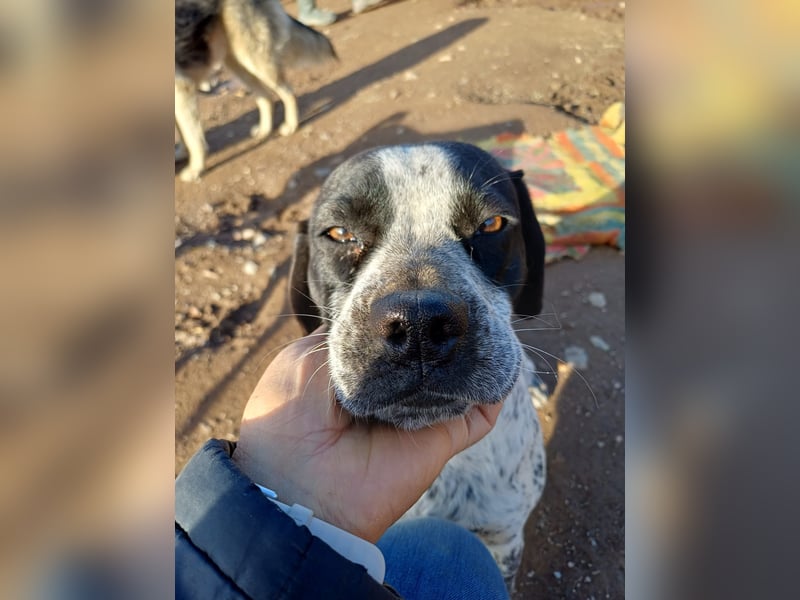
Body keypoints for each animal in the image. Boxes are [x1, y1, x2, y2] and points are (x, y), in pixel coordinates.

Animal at [175, 0, 336, 182]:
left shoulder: (182, 88)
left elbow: (192, 138)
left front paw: (195, 169)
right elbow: (183, 132)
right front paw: (180, 154)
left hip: (252, 58)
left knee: (288, 92)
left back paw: (291, 126)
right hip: (238, 63)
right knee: (266, 97)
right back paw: (264, 130)